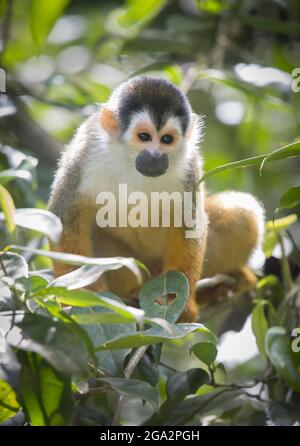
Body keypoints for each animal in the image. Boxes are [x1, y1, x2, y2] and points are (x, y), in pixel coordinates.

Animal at [48, 76, 264, 320]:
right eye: (144, 137)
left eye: (167, 139)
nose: (155, 157)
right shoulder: (85, 152)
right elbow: (66, 218)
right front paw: (80, 294)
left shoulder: (189, 166)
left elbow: (190, 224)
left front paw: (180, 303)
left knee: (242, 212)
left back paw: (221, 285)